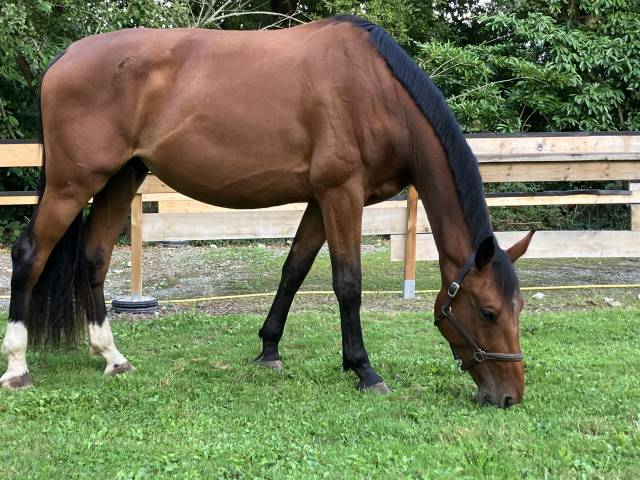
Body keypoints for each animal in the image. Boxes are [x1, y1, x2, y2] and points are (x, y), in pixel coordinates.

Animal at [1, 16, 533, 407]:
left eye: (518, 308)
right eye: (487, 311)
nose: (509, 396)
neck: (376, 92)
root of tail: (65, 57)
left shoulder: (321, 198)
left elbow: (294, 269)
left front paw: (269, 349)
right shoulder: (342, 194)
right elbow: (347, 283)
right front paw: (363, 369)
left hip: (119, 178)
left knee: (93, 259)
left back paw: (112, 357)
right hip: (73, 184)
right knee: (29, 255)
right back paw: (18, 367)